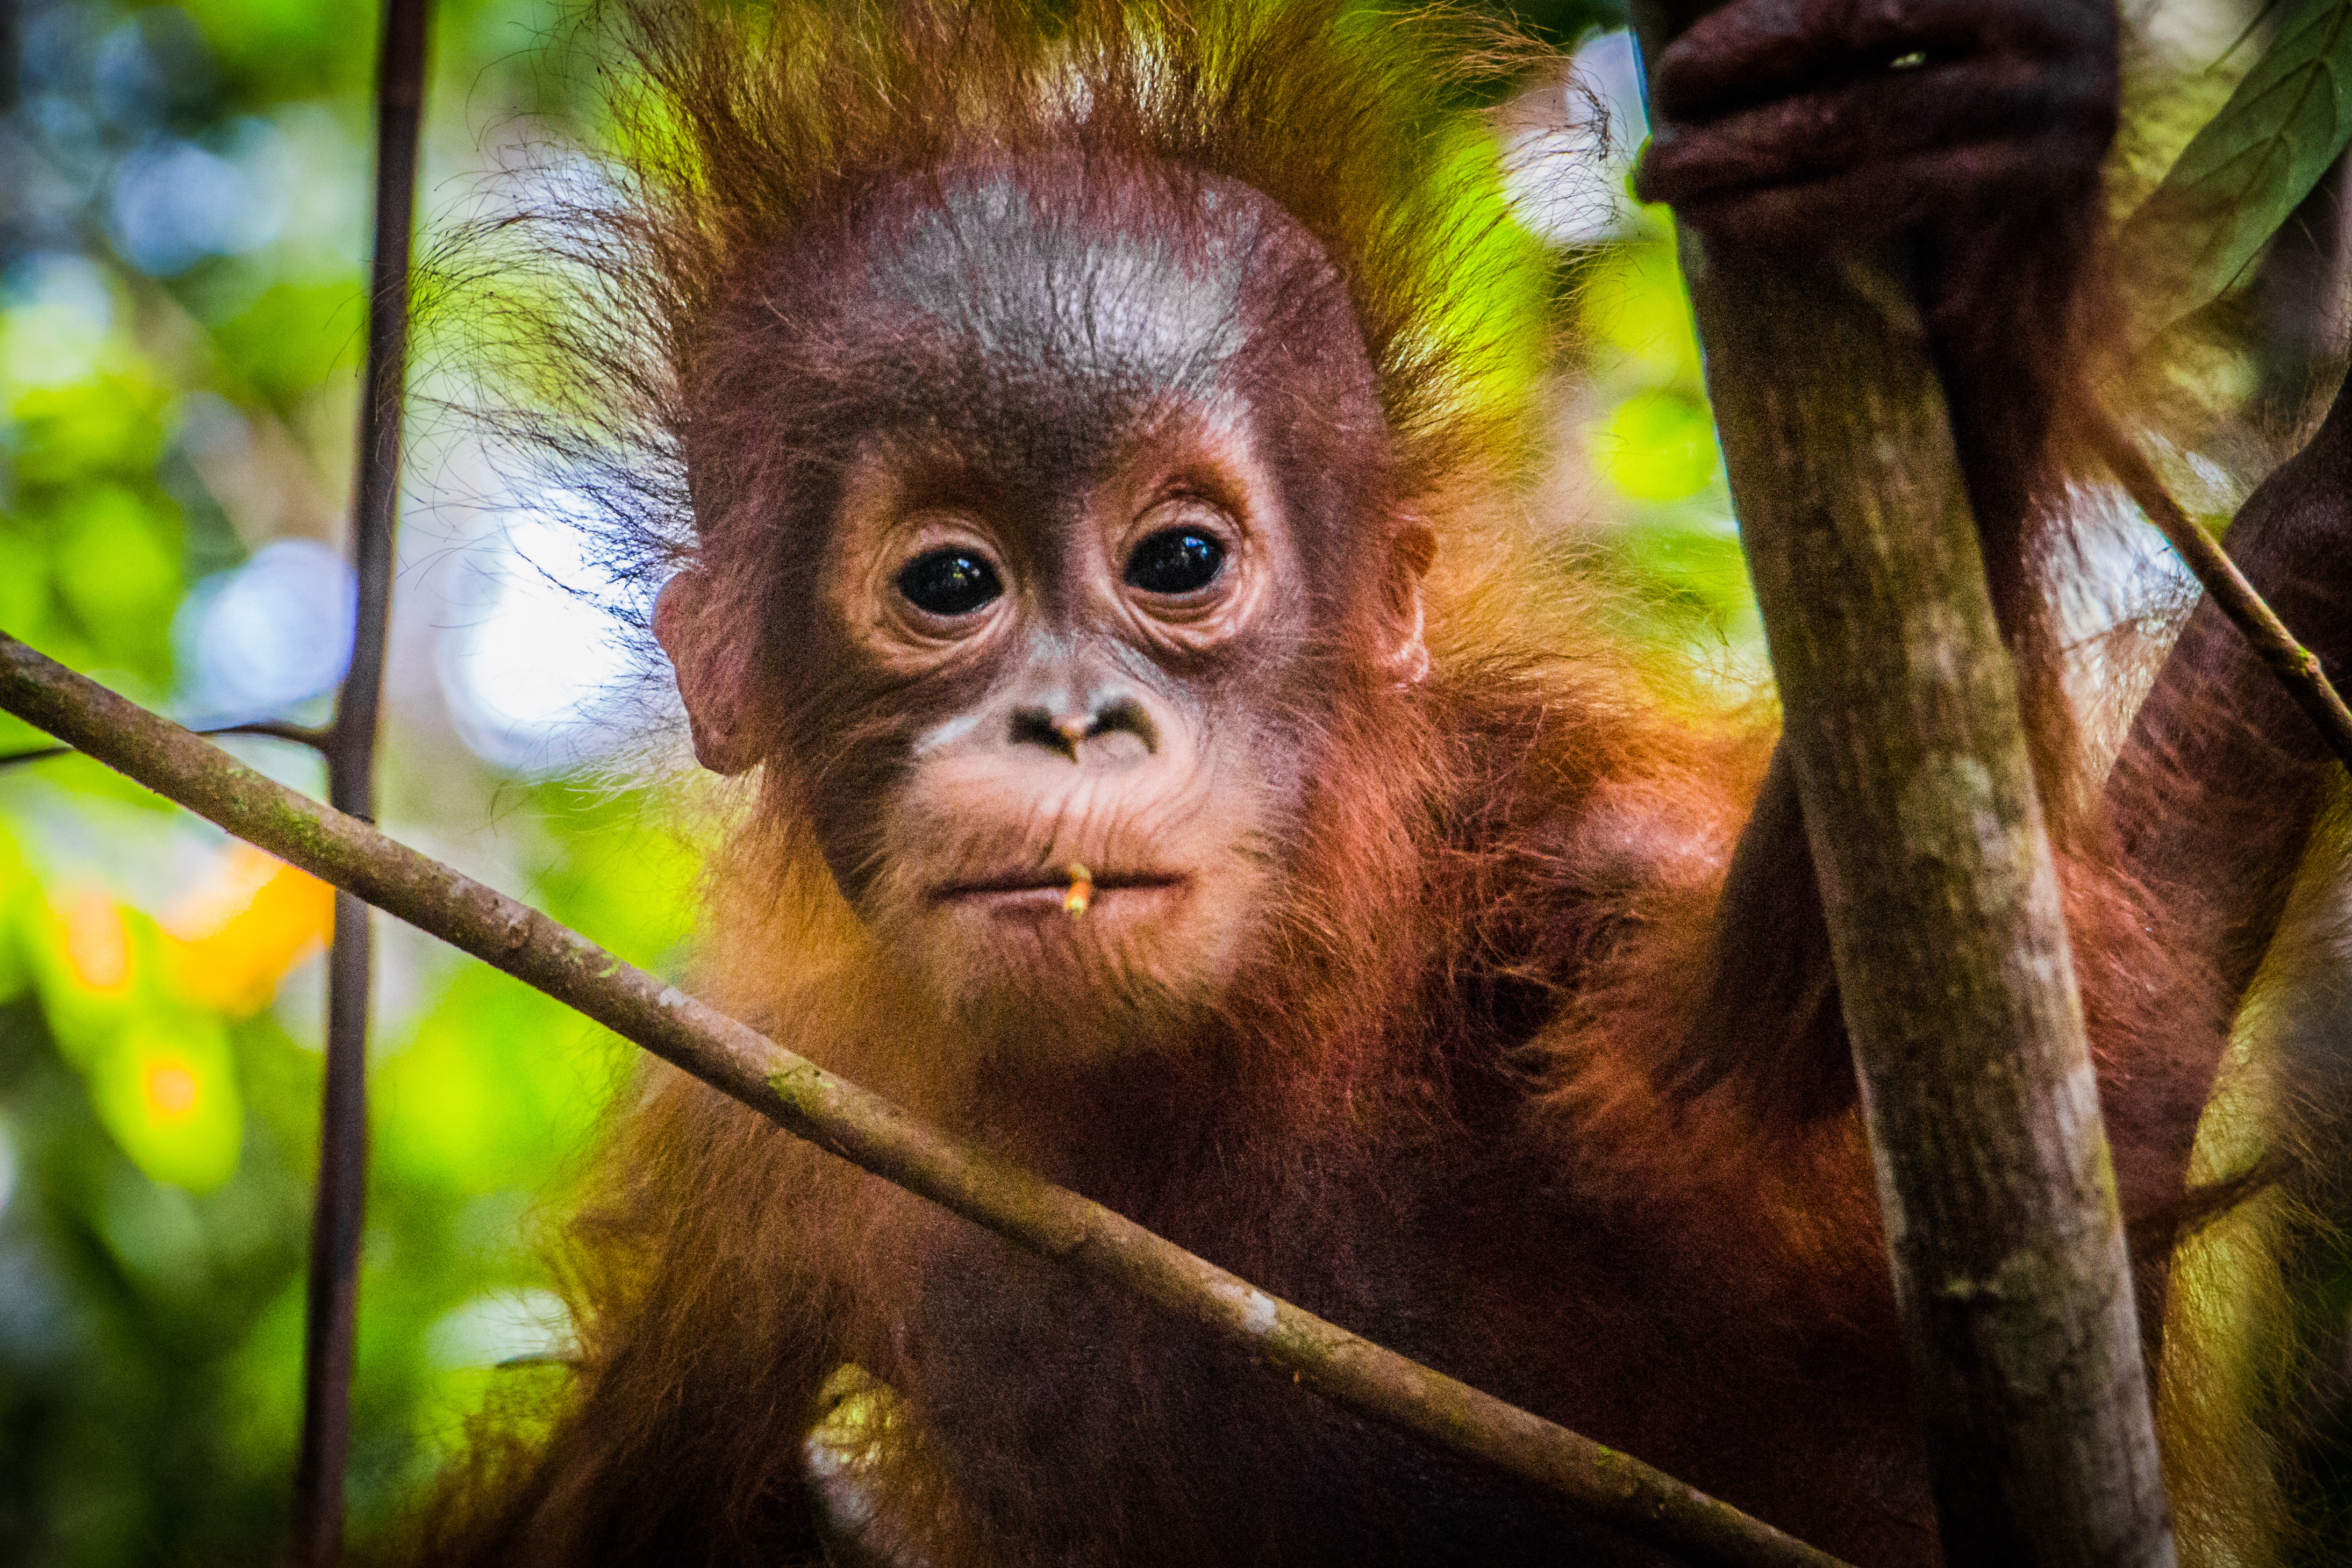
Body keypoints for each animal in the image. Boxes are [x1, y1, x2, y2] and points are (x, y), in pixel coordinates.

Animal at [408, 1, 2352, 1563]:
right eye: (949, 583)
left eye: (1178, 560)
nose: (1072, 718)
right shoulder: (759, 1111)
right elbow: (631, 1489)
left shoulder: (1562, 841)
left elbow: (1849, 1152)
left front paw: (1963, 225)